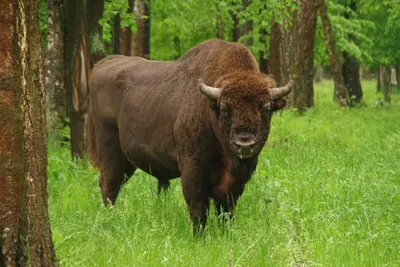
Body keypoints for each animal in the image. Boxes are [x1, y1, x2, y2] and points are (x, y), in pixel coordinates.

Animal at [88, 38, 294, 233]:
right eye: (225, 108)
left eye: (266, 108)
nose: (244, 144)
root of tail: (100, 65)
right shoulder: (192, 168)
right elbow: (198, 208)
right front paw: (199, 236)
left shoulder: (233, 183)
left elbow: (226, 210)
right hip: (111, 149)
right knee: (109, 184)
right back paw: (109, 219)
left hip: (128, 160)